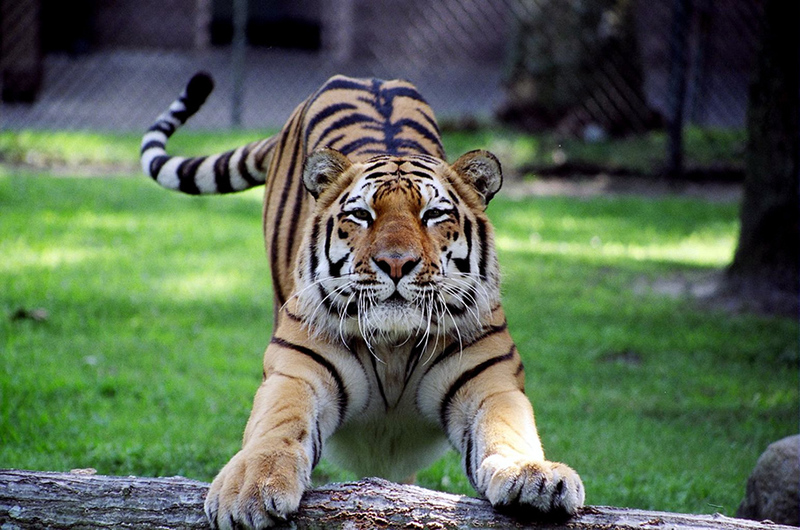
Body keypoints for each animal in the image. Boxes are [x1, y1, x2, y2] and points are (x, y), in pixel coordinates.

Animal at [141, 72, 584, 524]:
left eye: (433, 215)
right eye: (361, 216)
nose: (396, 263)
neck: (394, 345)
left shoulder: (492, 382)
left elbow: (507, 429)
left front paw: (534, 475)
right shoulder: (295, 373)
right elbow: (276, 427)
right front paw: (249, 488)